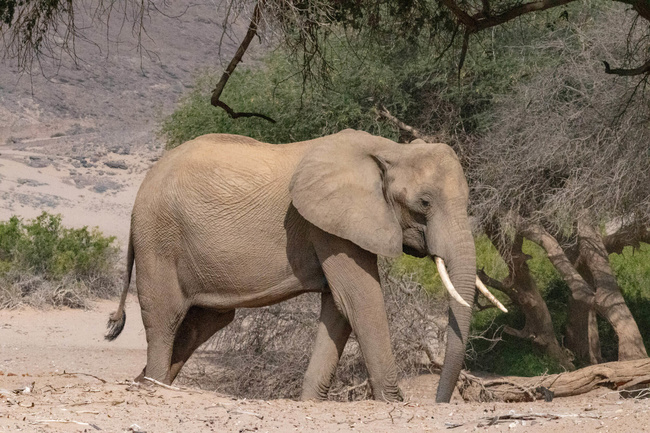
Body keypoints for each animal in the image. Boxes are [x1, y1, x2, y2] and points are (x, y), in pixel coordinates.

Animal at [105, 128, 502, 402]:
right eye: (424, 203)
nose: (439, 400)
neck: (390, 149)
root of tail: (142, 190)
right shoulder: (329, 223)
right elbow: (361, 299)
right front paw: (393, 402)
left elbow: (339, 307)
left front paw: (310, 401)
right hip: (159, 238)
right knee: (166, 318)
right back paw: (153, 386)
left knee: (201, 324)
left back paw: (142, 383)